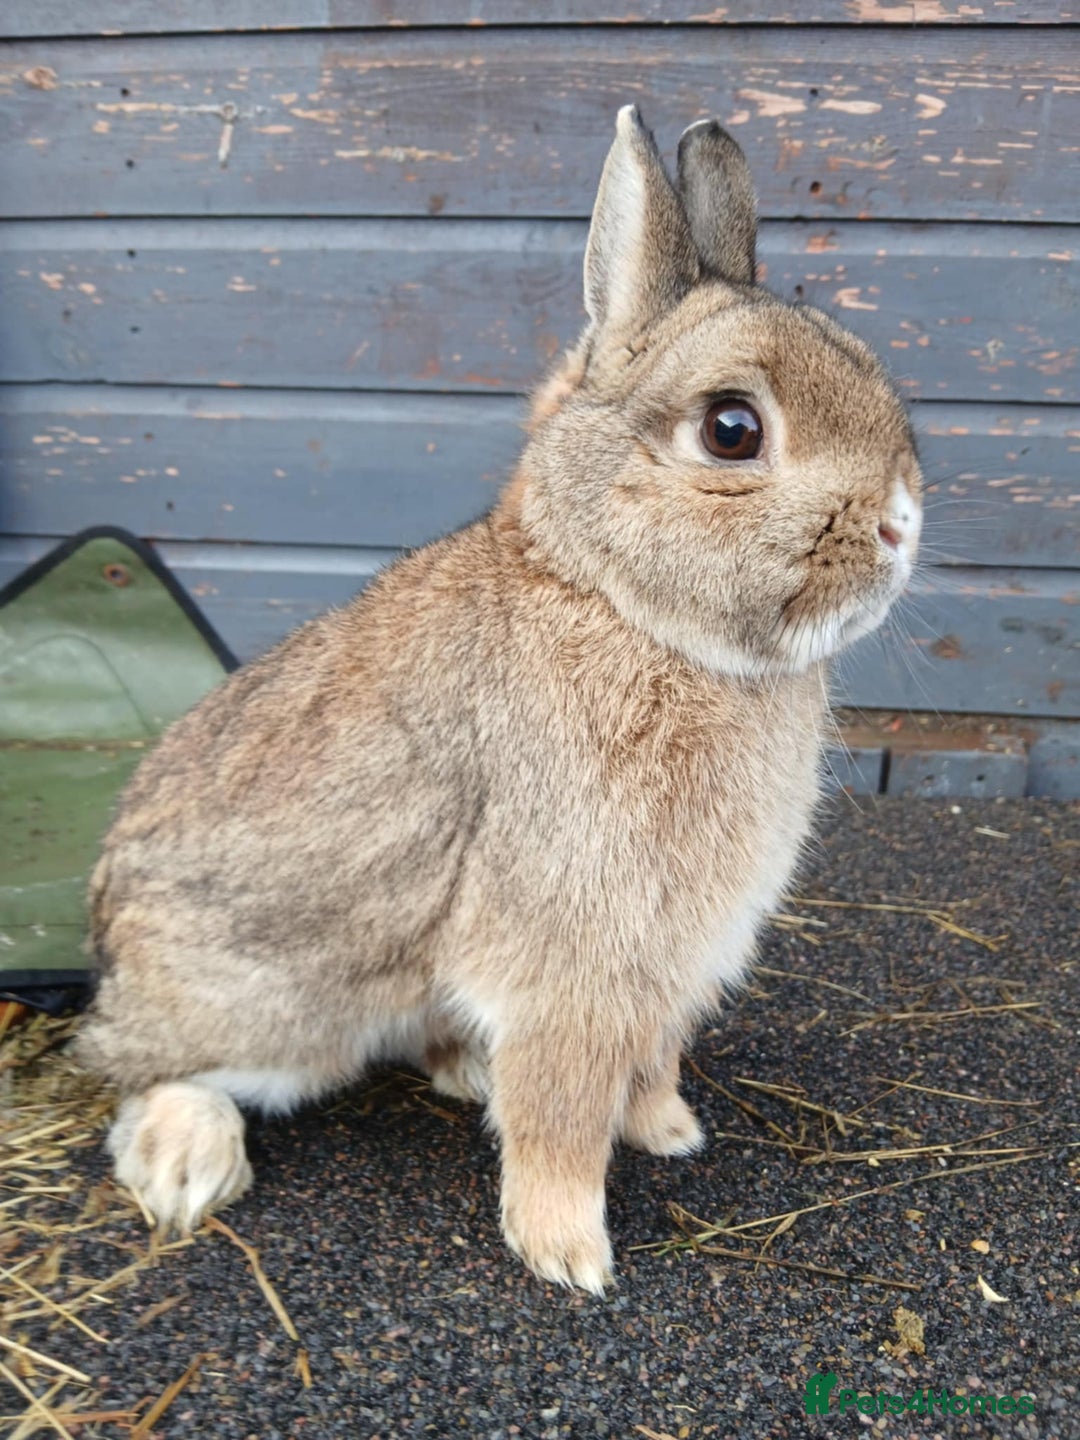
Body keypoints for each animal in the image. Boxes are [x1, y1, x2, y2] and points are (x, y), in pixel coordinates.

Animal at [76, 106, 922, 1294]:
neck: (620, 606)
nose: (901, 523)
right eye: (733, 430)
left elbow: (645, 1063)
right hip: (265, 1005)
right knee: (133, 1068)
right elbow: (562, 1110)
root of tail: (108, 936)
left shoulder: (661, 968)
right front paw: (568, 1253)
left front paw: (667, 1130)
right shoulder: (572, 956)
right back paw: (188, 1163)